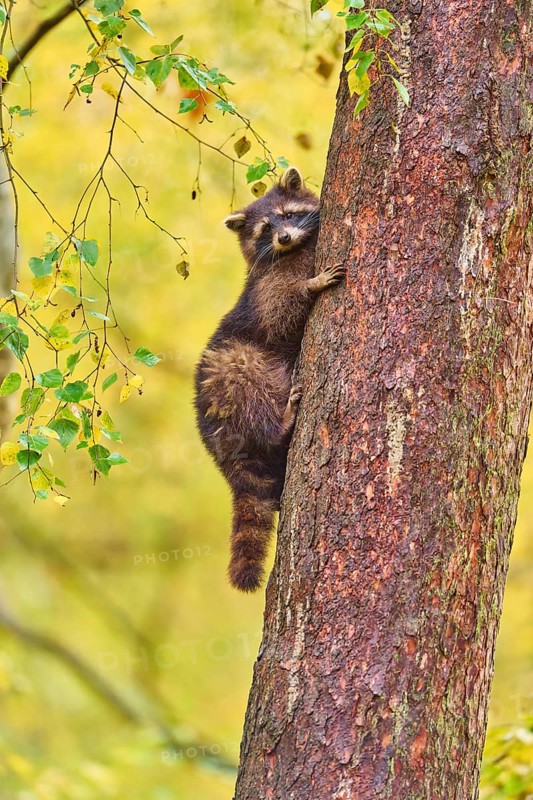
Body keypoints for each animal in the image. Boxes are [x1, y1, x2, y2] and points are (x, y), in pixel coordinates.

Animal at [194, 167, 345, 592]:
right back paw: (280, 424)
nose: (284, 237)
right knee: (248, 381)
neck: (295, 251)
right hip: (230, 377)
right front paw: (311, 285)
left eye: (288, 215)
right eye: (266, 229)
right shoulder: (267, 286)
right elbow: (281, 314)